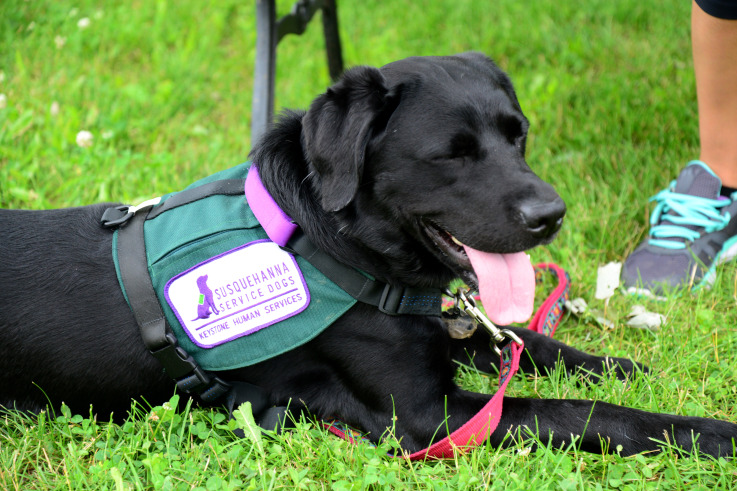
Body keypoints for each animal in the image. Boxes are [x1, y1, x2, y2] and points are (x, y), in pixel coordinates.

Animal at [1, 52, 736, 458]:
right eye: (451, 154)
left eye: (518, 135)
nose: (550, 215)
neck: (337, 246)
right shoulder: (430, 417)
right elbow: (580, 412)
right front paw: (708, 432)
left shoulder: (449, 330)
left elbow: (533, 342)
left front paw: (621, 364)